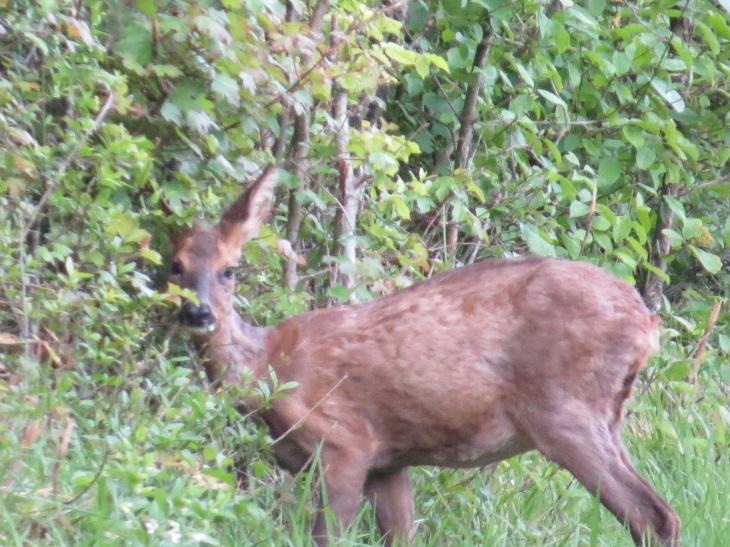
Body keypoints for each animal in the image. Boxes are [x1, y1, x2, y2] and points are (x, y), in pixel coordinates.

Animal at [168, 168, 680, 547]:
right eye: (174, 266)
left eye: (230, 269)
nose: (198, 312)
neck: (268, 370)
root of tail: (647, 324)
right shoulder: (388, 461)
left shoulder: (345, 442)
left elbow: (327, 537)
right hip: (606, 414)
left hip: (563, 411)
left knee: (654, 516)